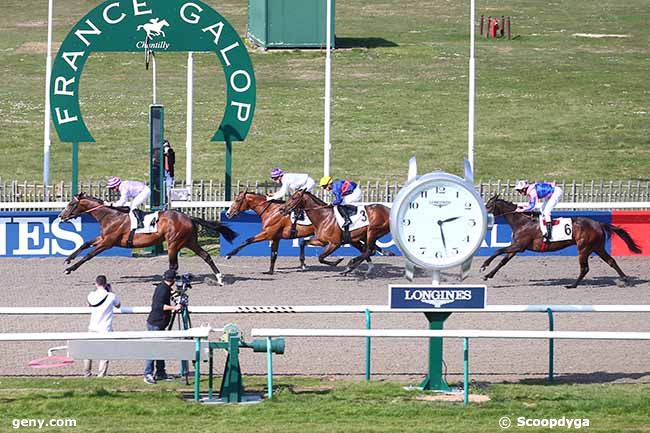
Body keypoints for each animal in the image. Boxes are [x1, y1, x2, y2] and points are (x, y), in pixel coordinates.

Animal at [57, 192, 235, 284]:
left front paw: (69, 269)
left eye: (71, 204)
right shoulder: (103, 238)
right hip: (190, 242)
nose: (61, 216)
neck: (111, 216)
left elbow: (88, 255)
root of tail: (189, 217)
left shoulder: (108, 242)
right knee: (206, 256)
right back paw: (219, 278)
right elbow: (85, 243)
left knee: (174, 265)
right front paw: (68, 259)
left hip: (173, 243)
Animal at [480, 196, 636, 286]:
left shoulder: (519, 245)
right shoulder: (517, 247)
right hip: (597, 247)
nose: (483, 216)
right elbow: (503, 261)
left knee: (585, 268)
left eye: (488, 206)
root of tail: (598, 223)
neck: (522, 222)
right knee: (611, 261)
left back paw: (572, 285)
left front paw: (484, 266)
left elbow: (498, 250)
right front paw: (488, 275)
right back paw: (625, 279)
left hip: (584, 248)